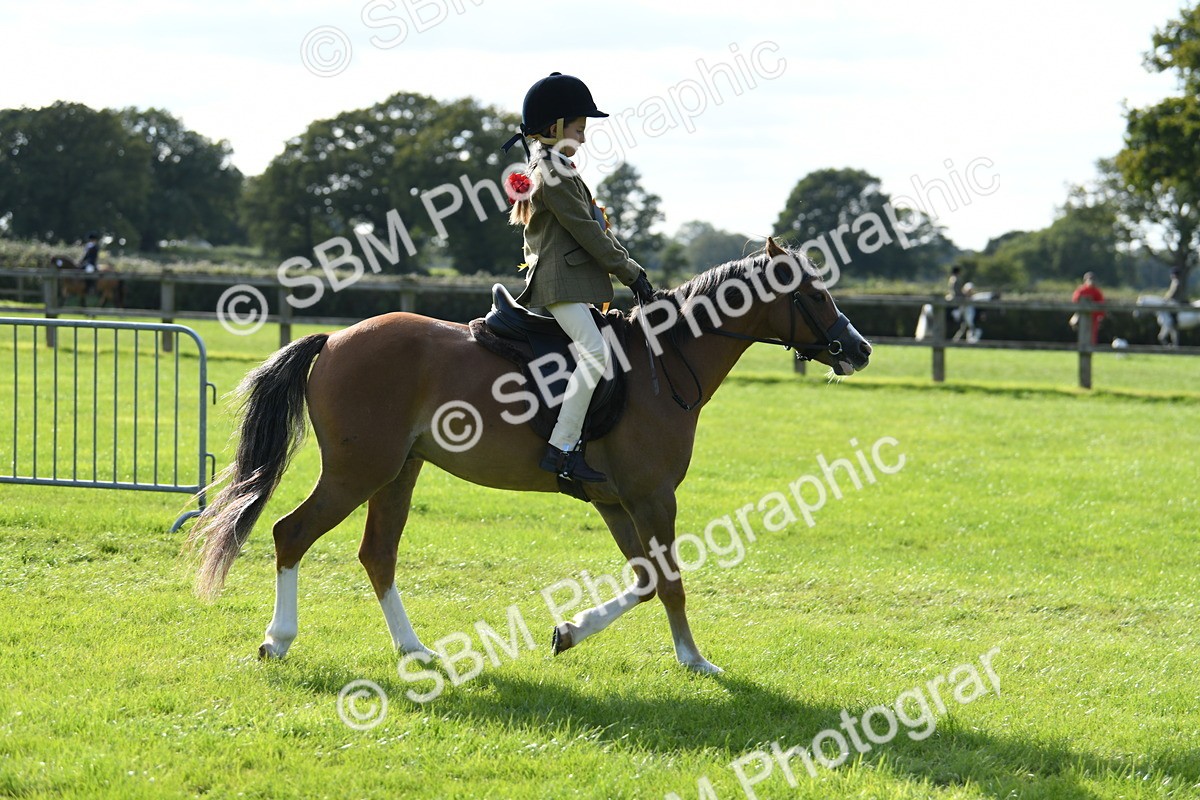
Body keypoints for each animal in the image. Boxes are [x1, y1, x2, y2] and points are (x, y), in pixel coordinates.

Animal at [186, 238, 872, 674]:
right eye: (813, 294)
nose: (861, 350)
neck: (663, 361)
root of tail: (335, 339)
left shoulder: (616, 500)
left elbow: (647, 580)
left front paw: (568, 633)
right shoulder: (653, 496)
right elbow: (671, 580)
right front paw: (695, 660)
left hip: (399, 472)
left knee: (377, 554)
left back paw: (416, 651)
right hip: (360, 472)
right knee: (291, 533)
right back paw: (278, 641)